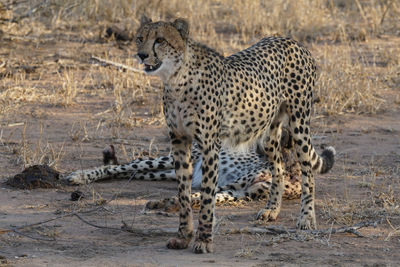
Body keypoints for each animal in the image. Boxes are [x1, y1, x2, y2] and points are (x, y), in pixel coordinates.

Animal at [134, 15, 334, 254]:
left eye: (160, 40)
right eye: (140, 38)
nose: (141, 54)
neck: (176, 79)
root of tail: (292, 41)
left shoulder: (210, 145)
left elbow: (207, 195)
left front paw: (203, 240)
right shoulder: (179, 141)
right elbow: (183, 193)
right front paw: (183, 237)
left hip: (299, 123)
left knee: (308, 172)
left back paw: (306, 218)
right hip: (268, 134)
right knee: (279, 168)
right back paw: (272, 210)